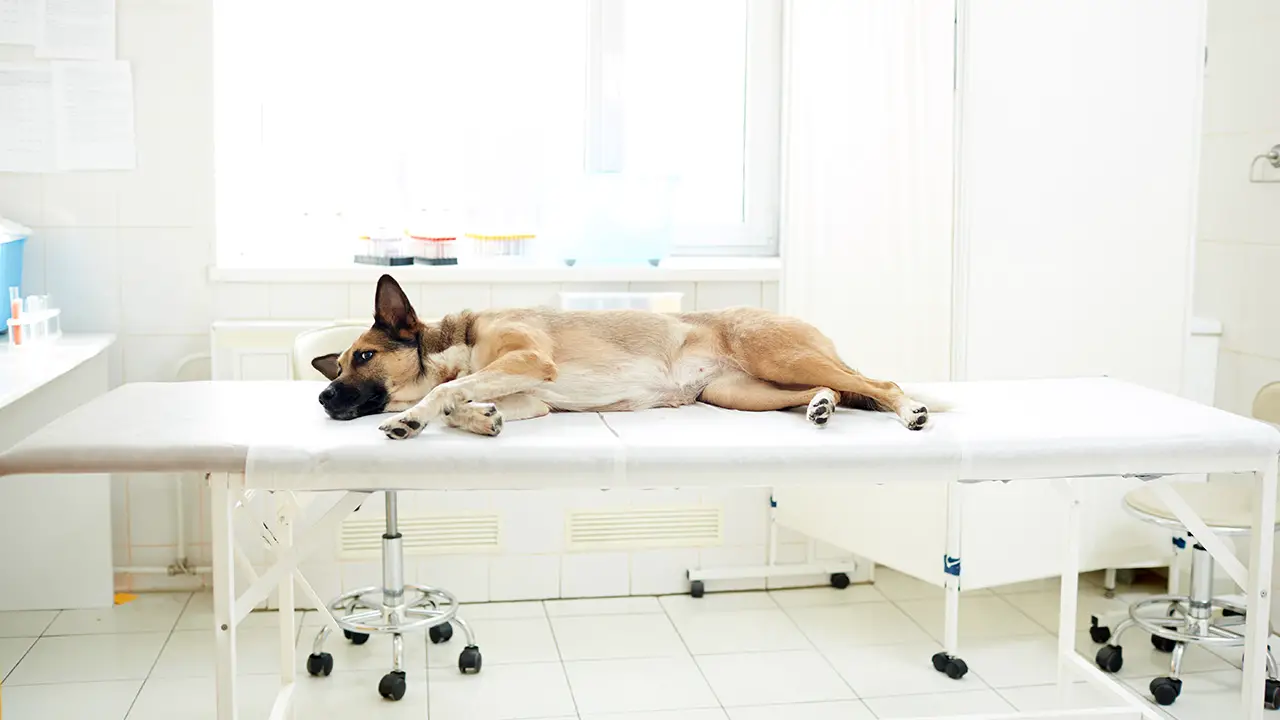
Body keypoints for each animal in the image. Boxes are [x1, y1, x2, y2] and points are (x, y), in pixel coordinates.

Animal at [309, 271, 931, 438]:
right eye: (337, 364)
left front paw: (415, 416)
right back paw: (822, 404)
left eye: (362, 358)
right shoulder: (530, 395)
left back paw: (908, 411)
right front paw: (480, 417)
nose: (323, 396)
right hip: (740, 393)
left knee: (883, 385)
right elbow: (461, 400)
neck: (457, 345)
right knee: (827, 391)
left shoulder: (528, 361)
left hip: (777, 357)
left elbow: (443, 390)